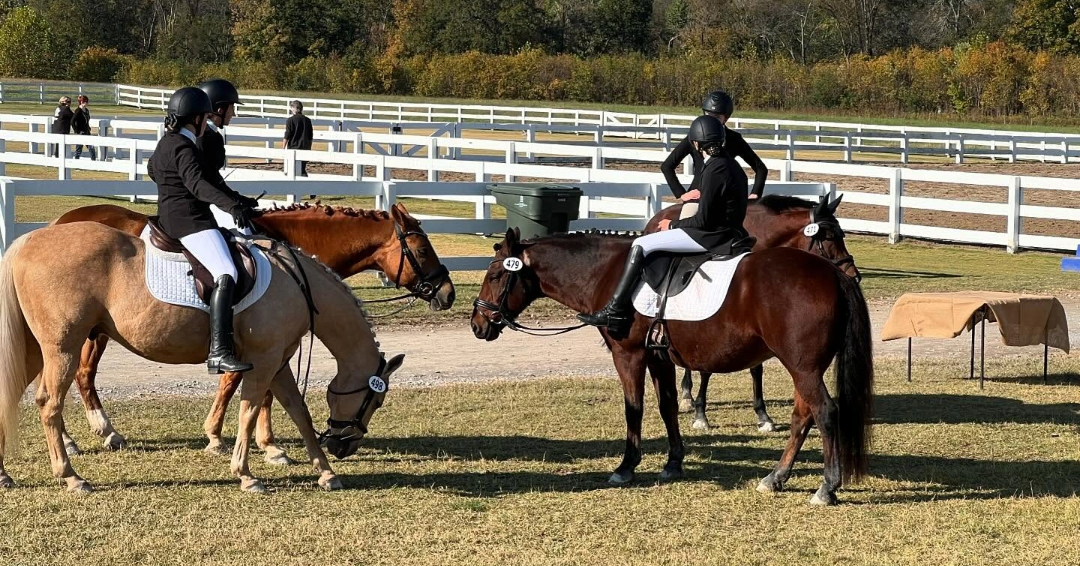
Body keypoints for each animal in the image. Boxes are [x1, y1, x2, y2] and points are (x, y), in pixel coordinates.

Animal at [0, 221, 406, 490]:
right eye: (376, 400)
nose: (343, 446)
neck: (295, 283)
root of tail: (26, 241)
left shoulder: (278, 362)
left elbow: (298, 413)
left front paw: (326, 473)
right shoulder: (263, 360)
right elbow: (249, 410)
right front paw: (246, 475)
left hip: (37, 350)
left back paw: (6, 475)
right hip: (63, 349)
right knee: (49, 403)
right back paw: (71, 476)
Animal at [49, 200, 455, 462]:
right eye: (422, 251)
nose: (447, 293)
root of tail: (62, 222)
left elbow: (254, 388)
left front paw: (251, 440)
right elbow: (247, 387)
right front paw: (250, 442)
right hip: (89, 331)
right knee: (78, 376)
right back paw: (96, 434)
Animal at [473, 227, 876, 505]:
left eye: (494, 275)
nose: (477, 325)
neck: (610, 273)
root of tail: (833, 274)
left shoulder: (629, 355)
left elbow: (633, 408)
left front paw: (626, 467)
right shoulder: (659, 359)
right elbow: (667, 407)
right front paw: (673, 463)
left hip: (803, 368)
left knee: (825, 413)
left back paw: (826, 487)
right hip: (804, 369)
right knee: (802, 417)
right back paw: (775, 478)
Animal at [639, 192, 859, 432]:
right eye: (829, 237)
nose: (853, 276)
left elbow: (756, 369)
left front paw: (763, 415)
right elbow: (707, 369)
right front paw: (700, 414)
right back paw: (688, 396)